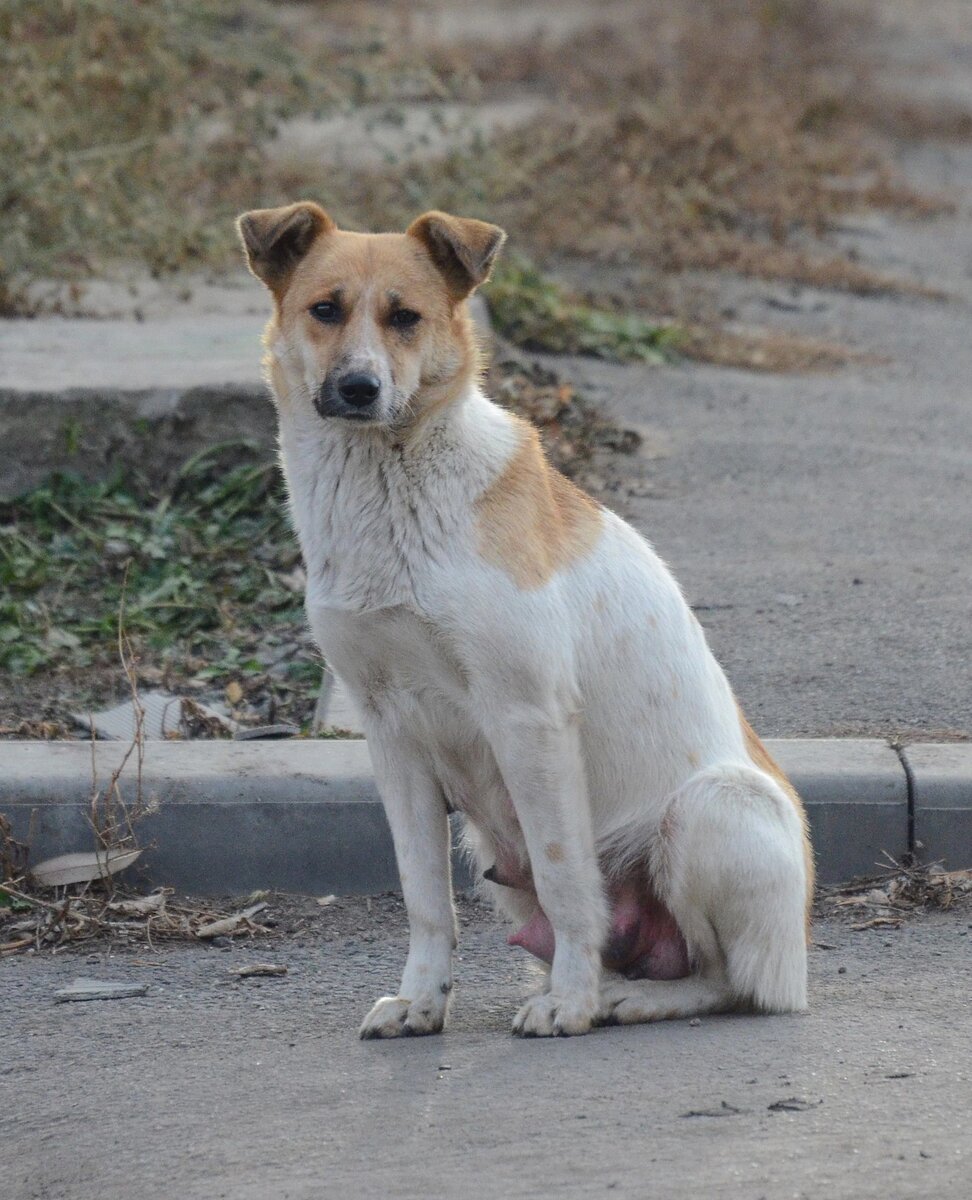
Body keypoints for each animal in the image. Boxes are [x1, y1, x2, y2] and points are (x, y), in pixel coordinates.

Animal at [236, 201, 811, 1036]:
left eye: (405, 317)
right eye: (325, 310)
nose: (358, 387)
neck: (391, 491)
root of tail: (799, 955)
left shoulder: (527, 717)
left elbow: (570, 885)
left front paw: (568, 1004)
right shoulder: (390, 732)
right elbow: (424, 898)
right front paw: (421, 1000)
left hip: (710, 810)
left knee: (728, 980)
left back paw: (622, 998)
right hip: (491, 852)